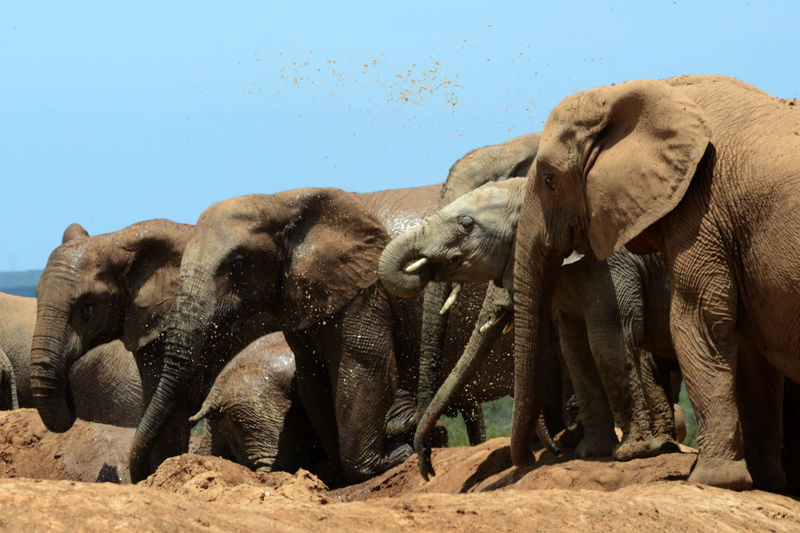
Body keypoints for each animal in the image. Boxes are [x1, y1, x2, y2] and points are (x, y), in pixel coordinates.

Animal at [131, 185, 556, 484]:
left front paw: (384, 461)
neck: (283, 202)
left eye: (237, 264)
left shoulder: (364, 291)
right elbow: (314, 376)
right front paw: (350, 468)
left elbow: (361, 364)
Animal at [382, 177, 680, 476]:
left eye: (466, 224)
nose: (428, 465)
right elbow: (575, 346)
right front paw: (591, 451)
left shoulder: (612, 261)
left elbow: (608, 339)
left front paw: (630, 453)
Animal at [510, 75, 800, 490]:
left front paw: (712, 481)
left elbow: (698, 322)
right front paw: (762, 483)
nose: (528, 461)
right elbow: (747, 347)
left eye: (550, 180)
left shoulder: (702, 209)